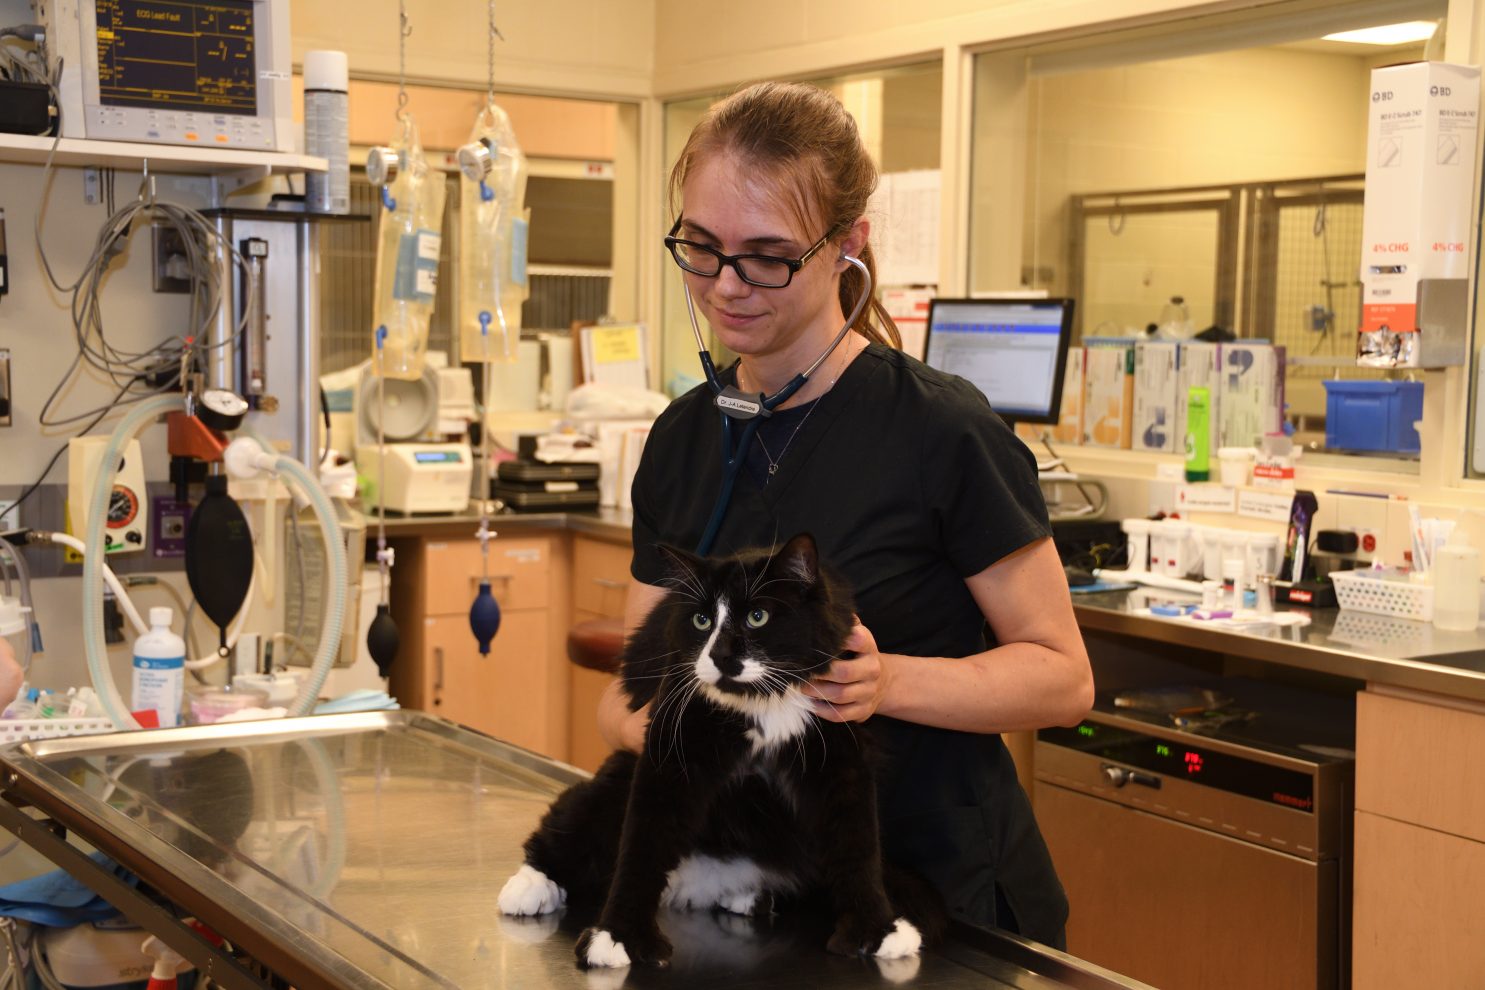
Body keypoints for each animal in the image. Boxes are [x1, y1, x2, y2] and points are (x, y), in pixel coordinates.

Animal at [498, 532, 944, 969]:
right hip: (609, 786)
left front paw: (878, 930)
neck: (763, 702)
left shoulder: (841, 758)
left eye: (757, 617)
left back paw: (749, 896)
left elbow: (858, 846)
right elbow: (641, 846)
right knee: (563, 830)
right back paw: (530, 887)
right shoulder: (670, 753)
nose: (720, 655)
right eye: (703, 621)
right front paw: (619, 936)